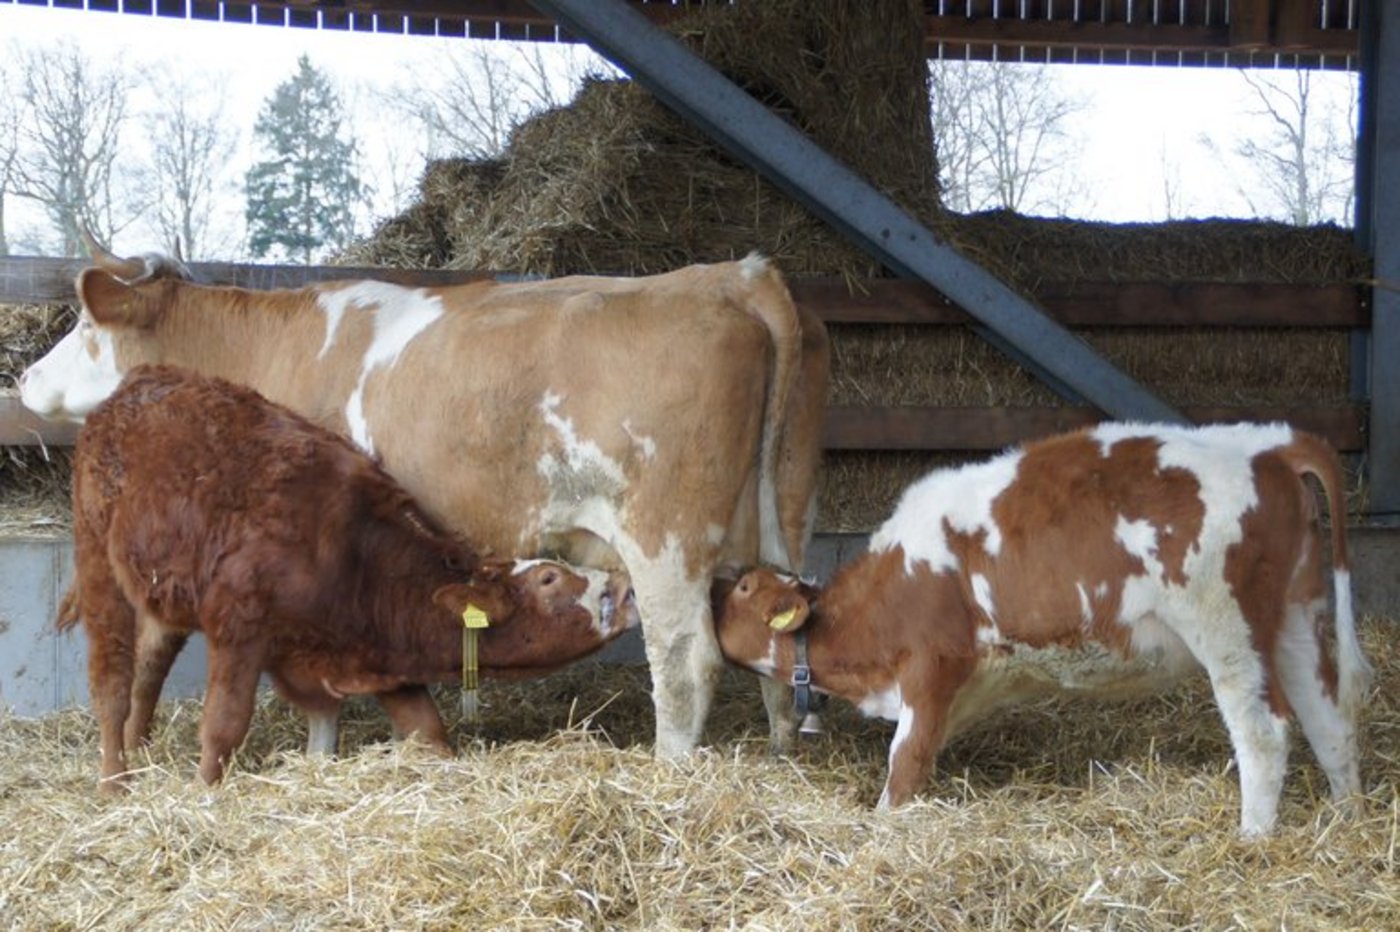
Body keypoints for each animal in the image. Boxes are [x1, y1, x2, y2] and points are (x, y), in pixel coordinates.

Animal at [65, 365, 639, 788]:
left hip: (163, 591)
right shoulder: (239, 626)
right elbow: (224, 726)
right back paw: (114, 780)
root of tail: (142, 379)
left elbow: (424, 732)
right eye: (548, 579)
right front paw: (205, 794)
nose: (626, 587)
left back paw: (139, 751)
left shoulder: (372, 657)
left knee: (149, 665)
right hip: (96, 559)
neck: (354, 560)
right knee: (111, 679)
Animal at [711, 423, 1370, 837]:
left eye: (743, 590)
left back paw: (1253, 838)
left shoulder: (931, 667)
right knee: (1330, 720)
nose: (713, 587)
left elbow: (906, 765)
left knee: (1264, 732)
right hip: (1297, 618)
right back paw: (1347, 820)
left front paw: (882, 825)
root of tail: (1267, 442)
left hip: (1228, 629)